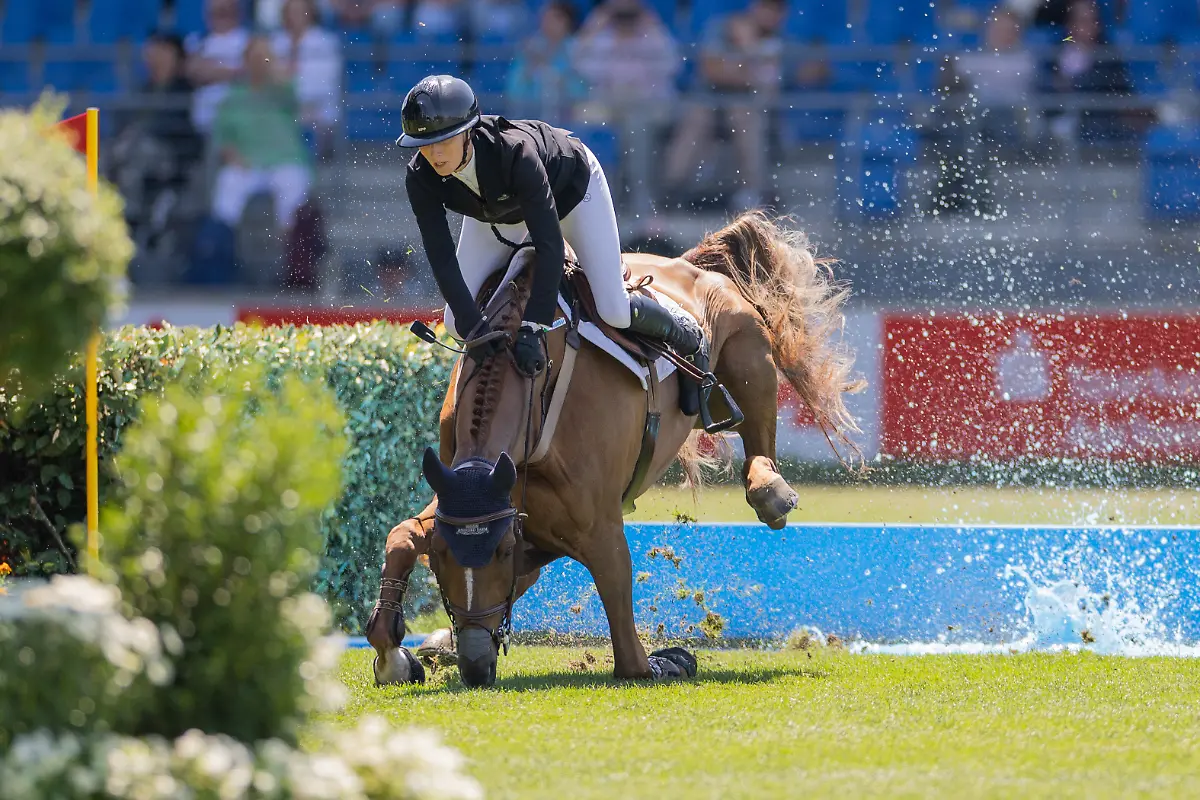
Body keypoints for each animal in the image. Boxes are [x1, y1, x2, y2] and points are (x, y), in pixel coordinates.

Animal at [366, 211, 862, 688]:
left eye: (502, 552)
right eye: (441, 556)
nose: (475, 667)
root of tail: (691, 263)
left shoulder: (596, 529)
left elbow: (631, 658)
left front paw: (672, 660)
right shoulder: (472, 495)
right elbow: (403, 534)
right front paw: (395, 655)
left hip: (749, 359)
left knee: (758, 440)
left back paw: (771, 491)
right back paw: (442, 644)